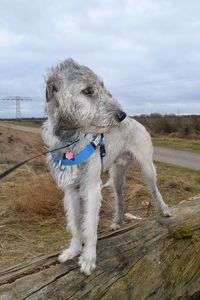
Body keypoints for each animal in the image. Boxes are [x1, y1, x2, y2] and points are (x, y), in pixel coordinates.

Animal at [42, 58, 170, 274]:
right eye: (88, 90)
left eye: (103, 87)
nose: (121, 115)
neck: (70, 141)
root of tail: (136, 121)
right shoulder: (70, 190)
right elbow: (75, 223)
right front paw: (73, 250)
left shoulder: (91, 187)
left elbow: (90, 226)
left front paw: (88, 258)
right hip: (116, 173)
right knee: (120, 197)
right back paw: (117, 221)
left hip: (147, 167)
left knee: (155, 190)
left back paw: (164, 209)